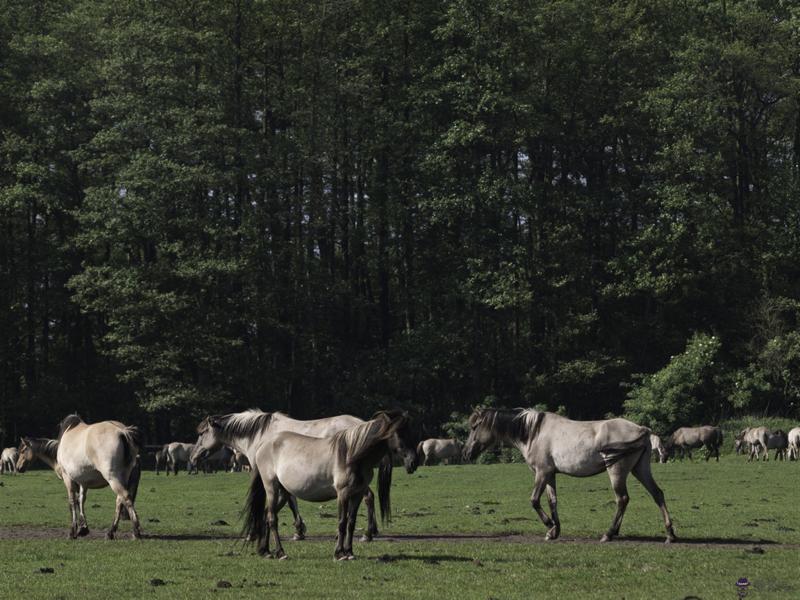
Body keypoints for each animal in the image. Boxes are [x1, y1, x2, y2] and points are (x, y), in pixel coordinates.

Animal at [191, 409, 388, 541]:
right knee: (369, 497)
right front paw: (299, 530)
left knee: (368, 497)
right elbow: (291, 501)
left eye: (202, 433)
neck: (259, 435)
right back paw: (371, 531)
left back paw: (368, 533)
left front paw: (255, 533)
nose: (193, 457)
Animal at [242, 410, 418, 560]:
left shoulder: (357, 494)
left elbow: (351, 523)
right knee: (272, 518)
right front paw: (339, 553)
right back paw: (280, 553)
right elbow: (341, 522)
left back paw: (265, 551)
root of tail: (263, 446)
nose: (413, 462)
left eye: (411, 432)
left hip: (284, 492)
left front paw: (350, 552)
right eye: (398, 433)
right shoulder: (343, 494)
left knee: (266, 515)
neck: (351, 456)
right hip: (271, 487)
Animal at [463, 408, 676, 543]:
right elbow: (552, 501)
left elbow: (534, 500)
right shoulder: (550, 475)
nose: (466, 453)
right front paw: (554, 531)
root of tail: (643, 430)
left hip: (617, 472)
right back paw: (670, 535)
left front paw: (549, 526)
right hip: (640, 469)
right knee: (657, 494)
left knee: (622, 499)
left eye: (474, 427)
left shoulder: (541, 473)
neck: (533, 433)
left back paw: (609, 534)